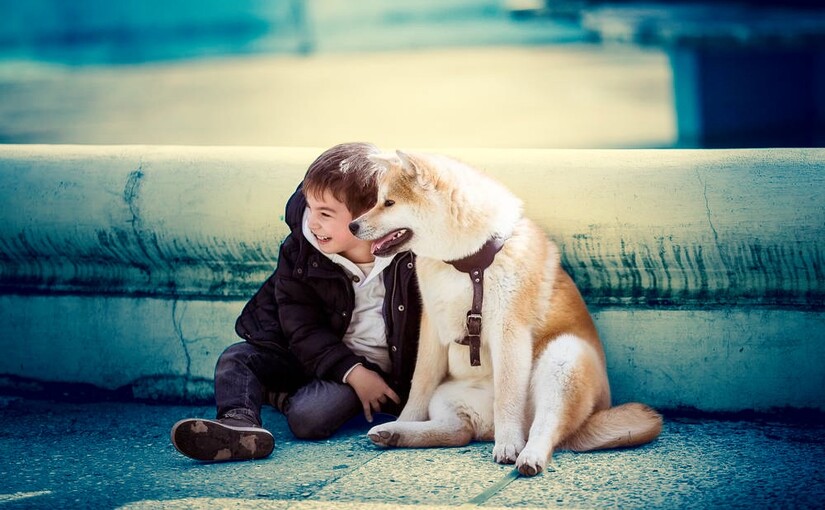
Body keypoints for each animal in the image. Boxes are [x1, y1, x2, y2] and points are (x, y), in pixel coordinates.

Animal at [350, 149, 664, 476]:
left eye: (389, 203)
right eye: (377, 200)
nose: (352, 226)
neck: (467, 264)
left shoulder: (509, 330)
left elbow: (507, 395)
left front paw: (509, 444)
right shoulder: (432, 329)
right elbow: (419, 386)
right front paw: (405, 419)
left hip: (563, 357)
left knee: (545, 427)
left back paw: (528, 454)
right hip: (450, 396)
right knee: (459, 431)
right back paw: (395, 432)